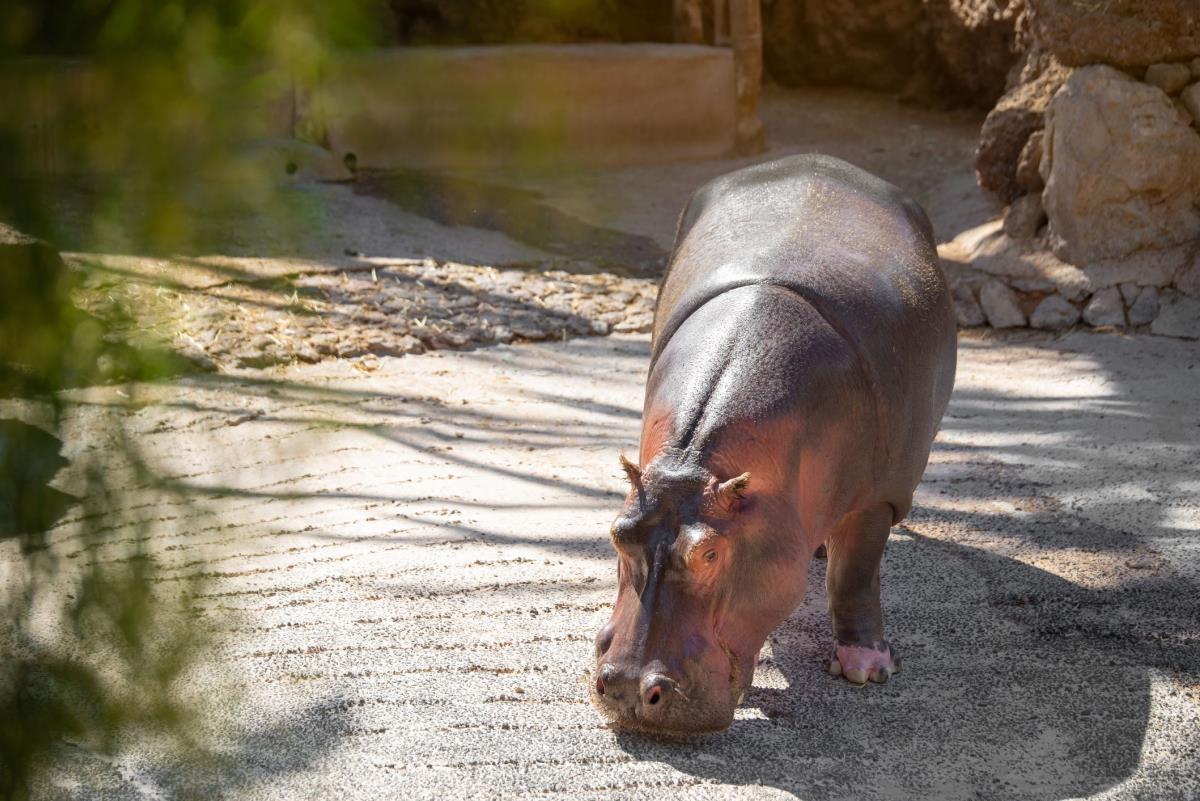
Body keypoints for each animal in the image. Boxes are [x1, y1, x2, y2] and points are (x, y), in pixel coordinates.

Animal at [590, 153, 955, 733]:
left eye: (711, 552)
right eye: (616, 532)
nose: (626, 689)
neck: (695, 463)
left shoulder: (878, 497)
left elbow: (854, 576)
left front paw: (867, 669)